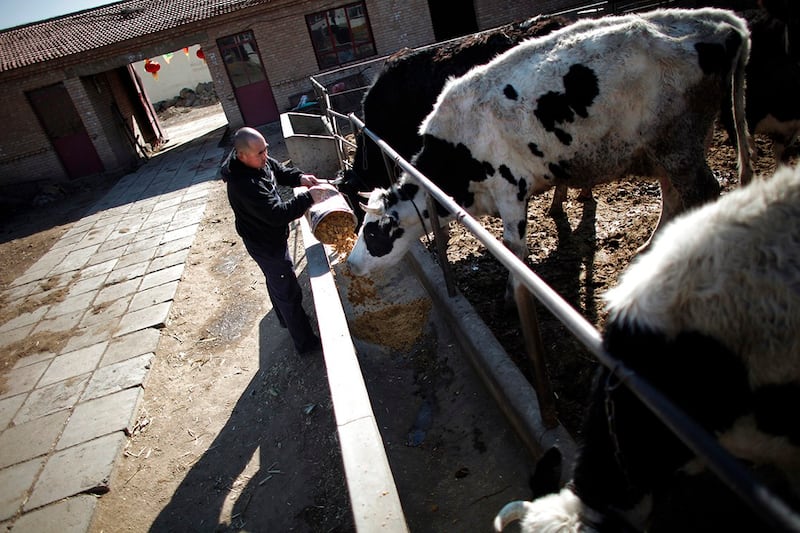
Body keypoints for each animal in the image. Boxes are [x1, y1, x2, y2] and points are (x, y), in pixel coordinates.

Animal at [346, 8, 752, 290]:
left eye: (373, 233)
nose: (349, 264)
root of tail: (714, 22)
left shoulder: (510, 190)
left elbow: (514, 250)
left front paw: (513, 294)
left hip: (680, 141)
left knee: (703, 191)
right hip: (666, 146)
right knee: (672, 192)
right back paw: (652, 247)